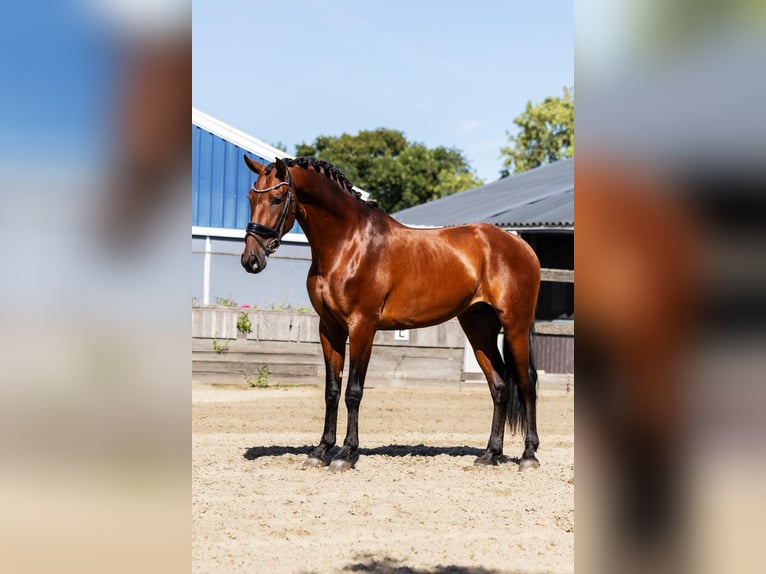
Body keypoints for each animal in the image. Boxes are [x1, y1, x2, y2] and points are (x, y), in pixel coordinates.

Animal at [241, 156, 541, 471]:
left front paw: (345, 453)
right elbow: (332, 390)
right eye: (250, 198)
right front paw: (320, 450)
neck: (348, 243)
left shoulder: (362, 326)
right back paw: (489, 454)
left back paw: (528, 455)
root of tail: (521, 245)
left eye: (276, 199)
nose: (251, 259)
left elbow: (353, 391)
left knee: (526, 382)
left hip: (515, 326)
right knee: (499, 385)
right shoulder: (329, 328)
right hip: (478, 327)